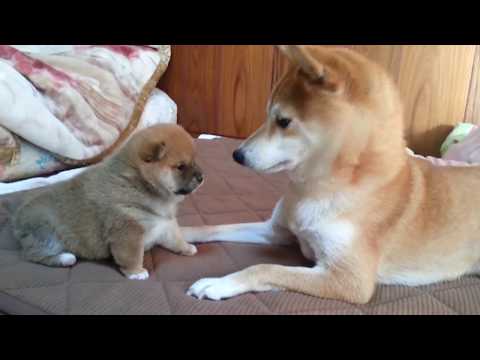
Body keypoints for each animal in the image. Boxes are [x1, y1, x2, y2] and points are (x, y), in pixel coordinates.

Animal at [182, 45, 480, 304]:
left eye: (283, 121)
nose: (237, 155)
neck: (317, 188)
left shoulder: (348, 280)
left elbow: (265, 267)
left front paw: (219, 283)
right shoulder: (276, 231)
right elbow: (217, 227)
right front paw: (181, 232)